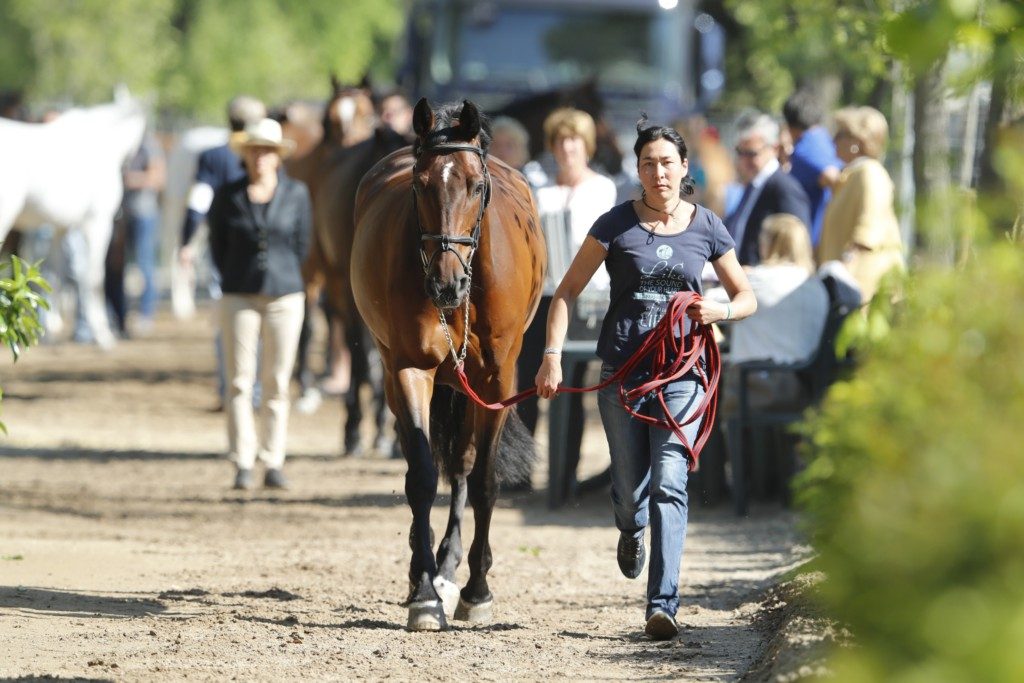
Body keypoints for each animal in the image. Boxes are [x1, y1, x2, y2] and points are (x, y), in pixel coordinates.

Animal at [0, 95, 148, 348]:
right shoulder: (97, 223)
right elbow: (94, 278)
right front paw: (103, 335)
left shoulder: (60, 227)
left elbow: (54, 275)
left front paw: (50, 330)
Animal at [350, 100, 544, 630]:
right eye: (420, 184)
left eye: (476, 185)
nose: (445, 283)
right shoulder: (409, 369)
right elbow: (420, 476)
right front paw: (423, 594)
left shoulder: (497, 380)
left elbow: (483, 482)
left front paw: (477, 590)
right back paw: (428, 569)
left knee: (463, 464)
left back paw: (453, 565)